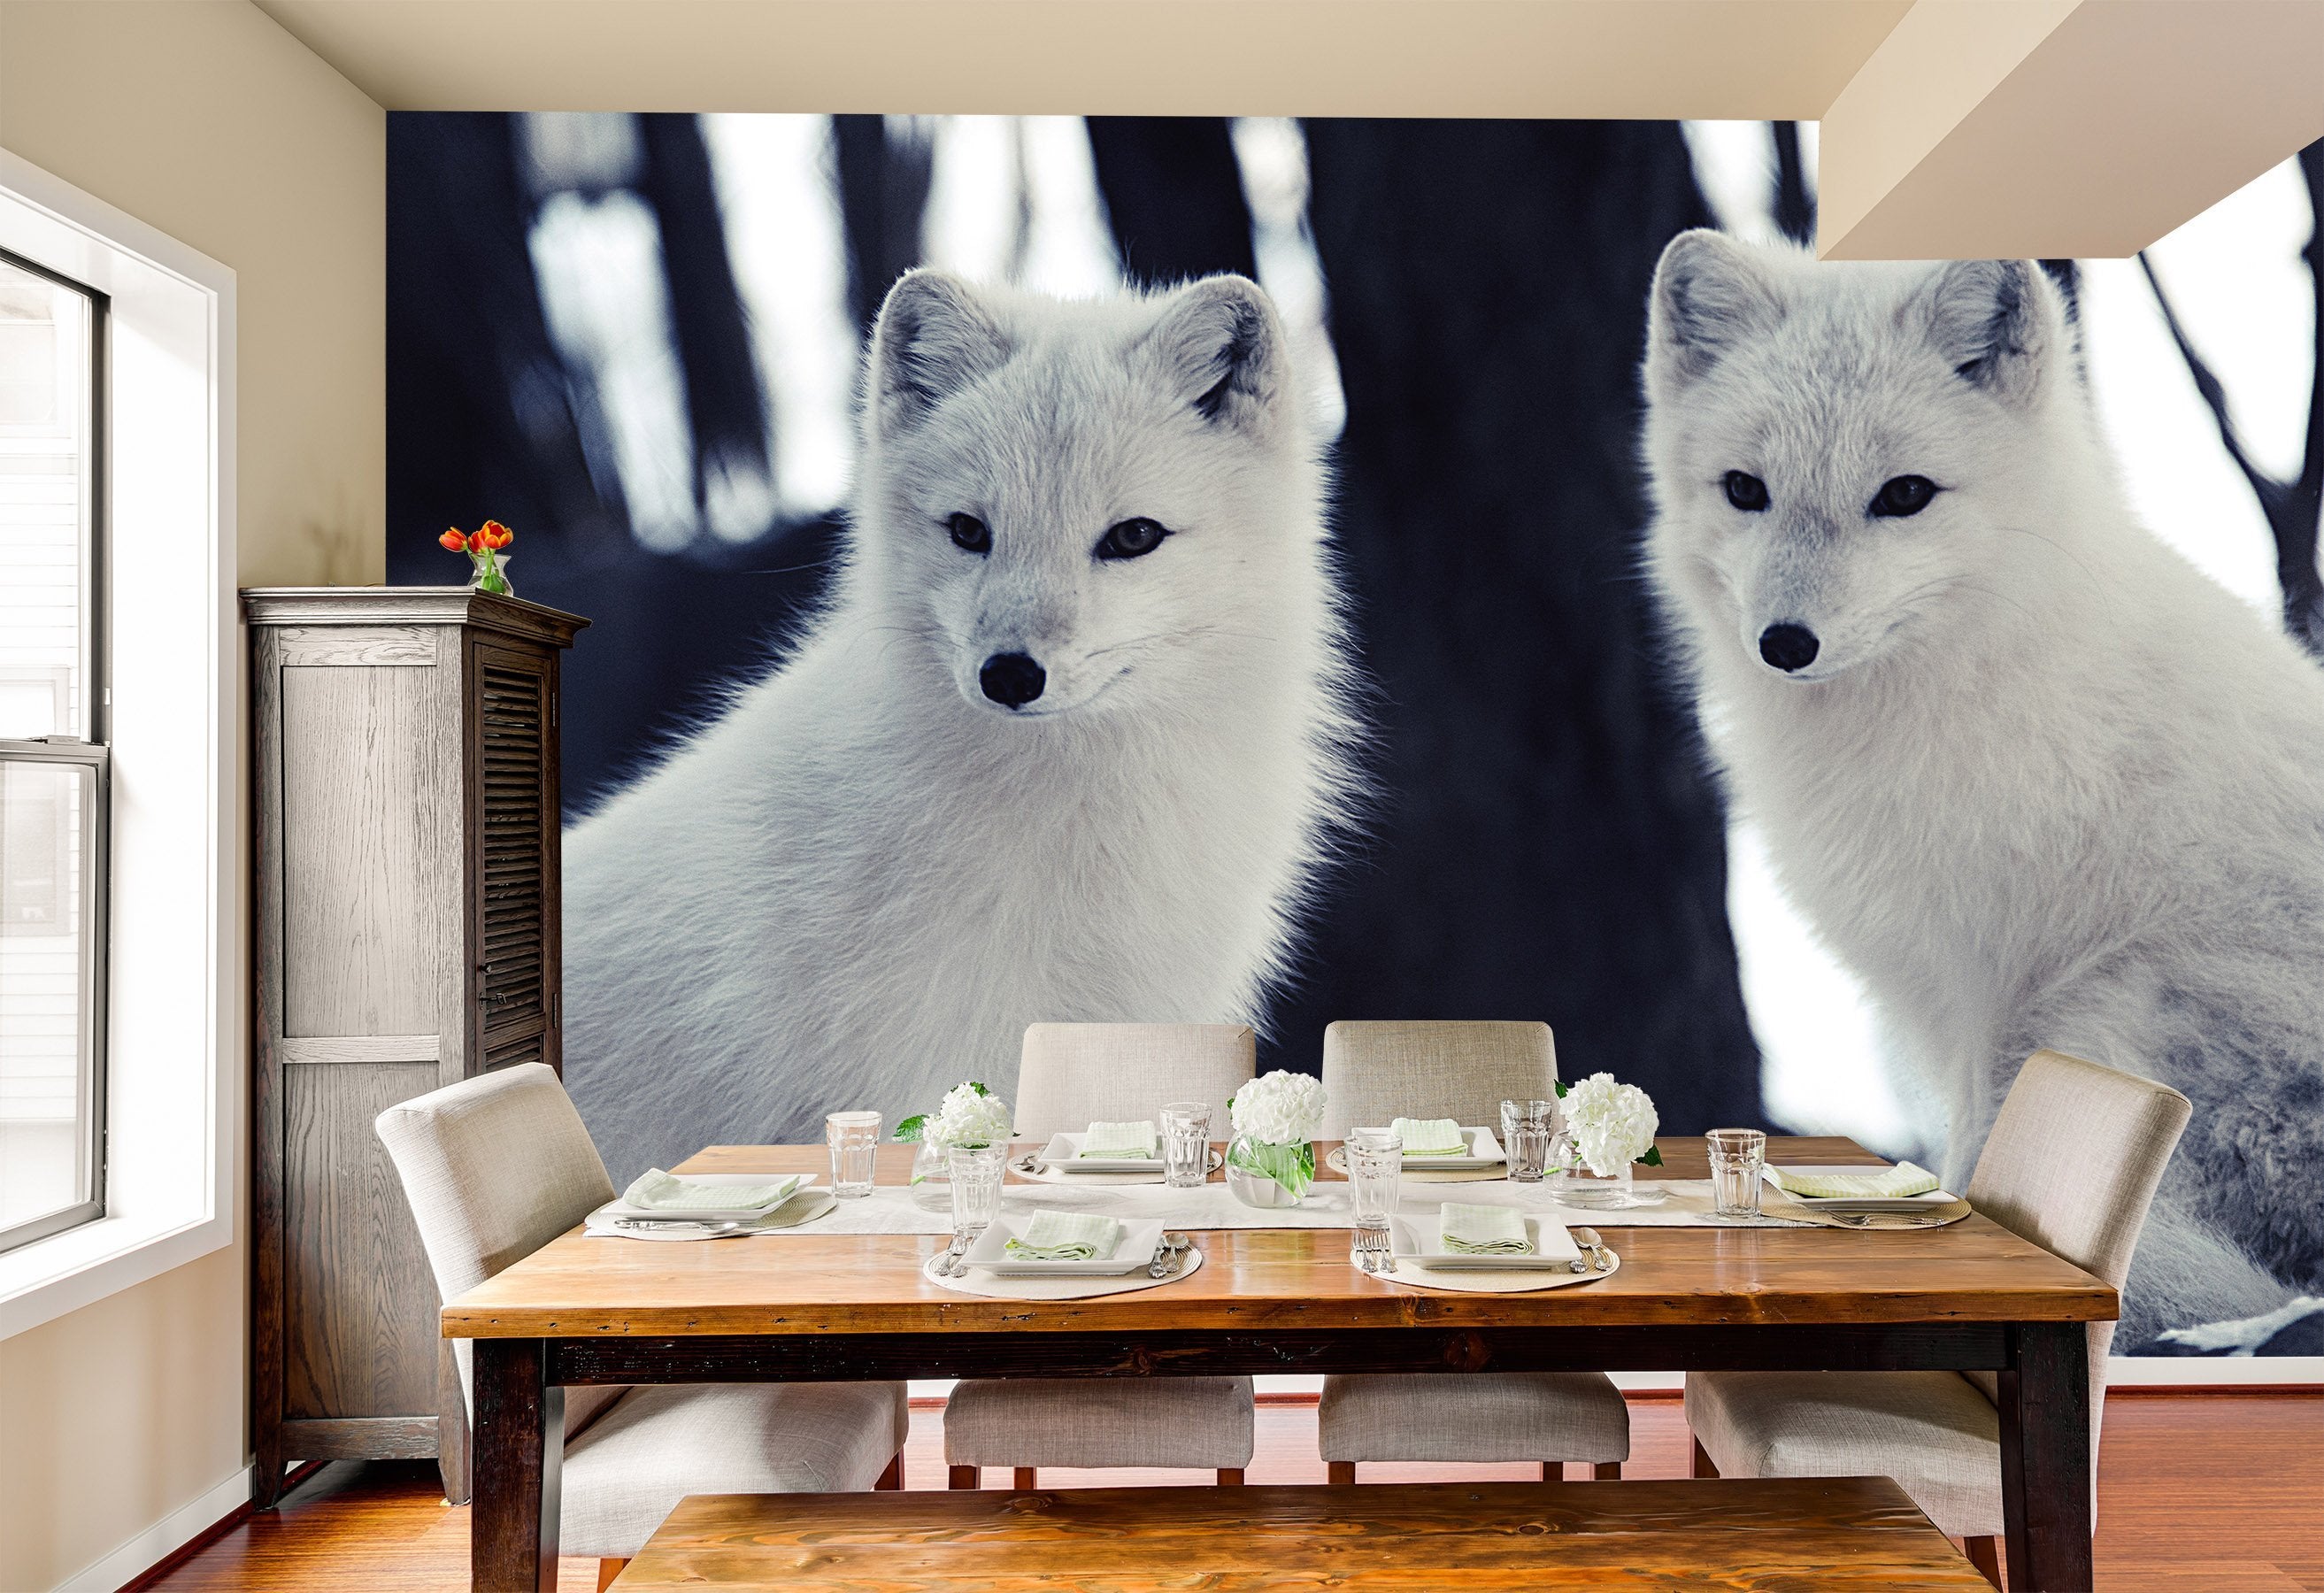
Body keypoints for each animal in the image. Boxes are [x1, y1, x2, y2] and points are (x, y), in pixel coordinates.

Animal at [1638, 229, 2324, 1351]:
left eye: (1904, 495)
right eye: (1744, 489)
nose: (1784, 643)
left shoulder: (1992, 979)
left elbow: (1971, 1162)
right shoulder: (1947, 981)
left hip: (2102, 1005)